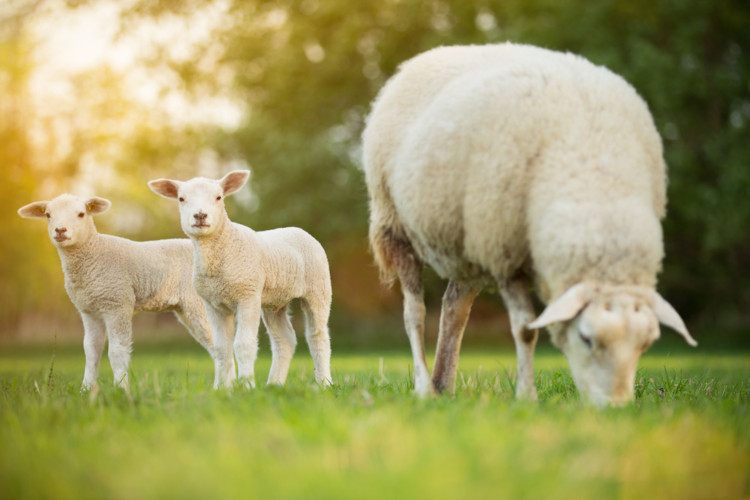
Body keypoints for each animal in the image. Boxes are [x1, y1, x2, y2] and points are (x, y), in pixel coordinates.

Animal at [18, 194, 216, 392]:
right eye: (48, 215)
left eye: (81, 214)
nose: (60, 230)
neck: (94, 253)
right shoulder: (89, 311)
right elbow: (91, 350)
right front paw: (86, 389)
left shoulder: (118, 304)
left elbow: (117, 351)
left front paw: (121, 388)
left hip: (198, 303)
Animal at [147, 170, 332, 389]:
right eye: (181, 199)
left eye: (219, 197)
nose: (200, 215)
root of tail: (298, 229)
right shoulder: (213, 304)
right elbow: (221, 348)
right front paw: (223, 388)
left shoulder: (247, 296)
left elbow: (243, 345)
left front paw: (246, 386)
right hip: (274, 301)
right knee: (284, 340)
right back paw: (274, 384)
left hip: (318, 288)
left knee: (317, 336)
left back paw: (324, 383)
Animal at [362, 42, 697, 406]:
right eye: (586, 338)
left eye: (646, 344)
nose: (616, 407)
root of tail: (423, 58)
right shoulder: (505, 255)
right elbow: (524, 328)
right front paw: (526, 396)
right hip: (396, 225)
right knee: (415, 313)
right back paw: (425, 387)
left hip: (468, 241)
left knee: (454, 309)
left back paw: (444, 385)